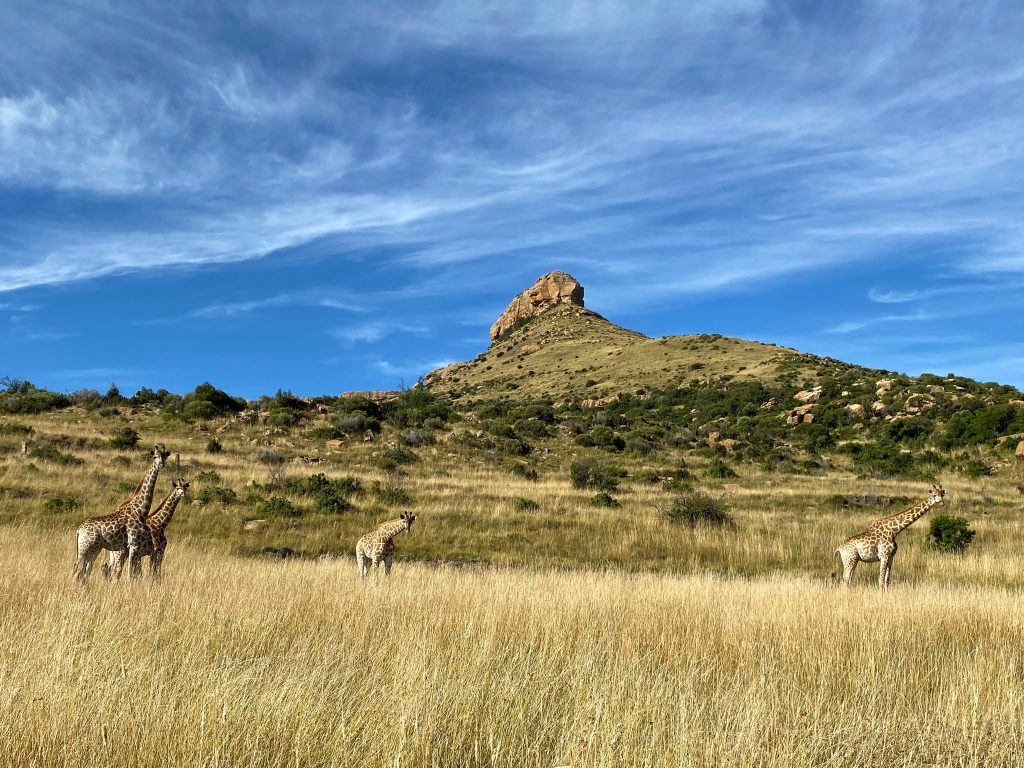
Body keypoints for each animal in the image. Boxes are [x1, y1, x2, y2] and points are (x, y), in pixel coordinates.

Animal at [72, 445, 171, 582]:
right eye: (155, 456)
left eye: (164, 456)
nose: (161, 464)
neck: (140, 510)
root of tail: (79, 530)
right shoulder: (134, 544)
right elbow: (131, 573)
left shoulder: (130, 547)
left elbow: (130, 572)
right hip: (85, 547)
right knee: (78, 570)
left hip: (94, 549)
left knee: (85, 571)